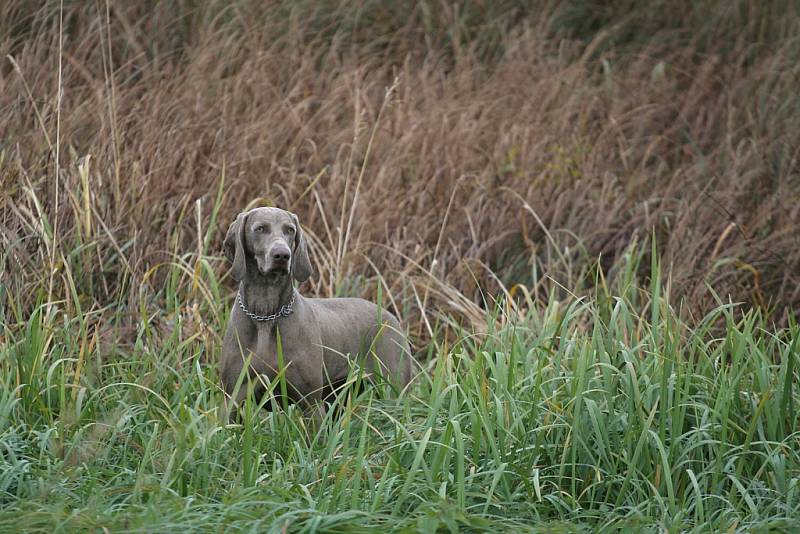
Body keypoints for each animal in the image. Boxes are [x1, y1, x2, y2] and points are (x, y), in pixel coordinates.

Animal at [220, 207, 412, 416]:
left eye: (290, 230)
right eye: (260, 228)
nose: (282, 255)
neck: (265, 313)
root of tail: (390, 315)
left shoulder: (310, 403)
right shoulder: (233, 399)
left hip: (393, 389)